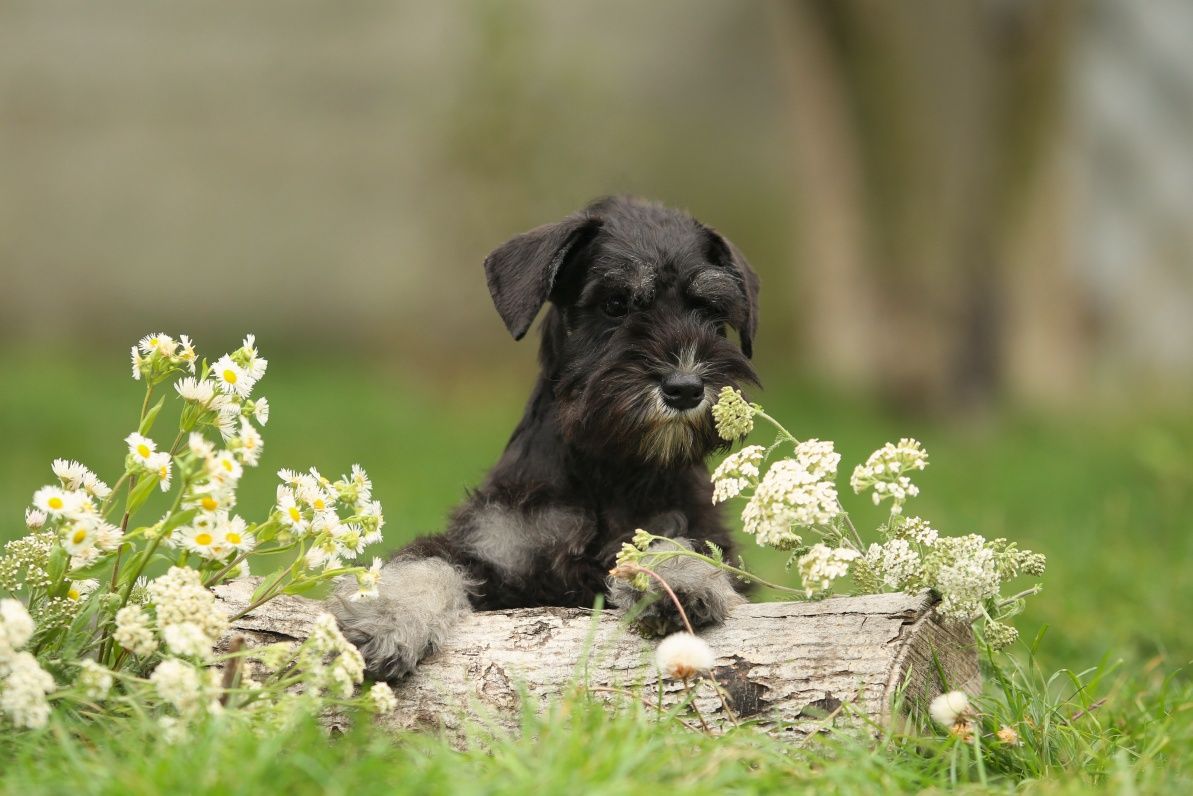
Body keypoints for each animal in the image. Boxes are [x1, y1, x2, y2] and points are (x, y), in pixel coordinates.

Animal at [334, 195, 763, 682]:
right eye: (615, 304)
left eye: (712, 312)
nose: (685, 388)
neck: (606, 466)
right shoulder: (491, 544)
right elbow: (425, 560)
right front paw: (384, 617)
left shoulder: (694, 526)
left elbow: (677, 541)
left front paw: (678, 579)